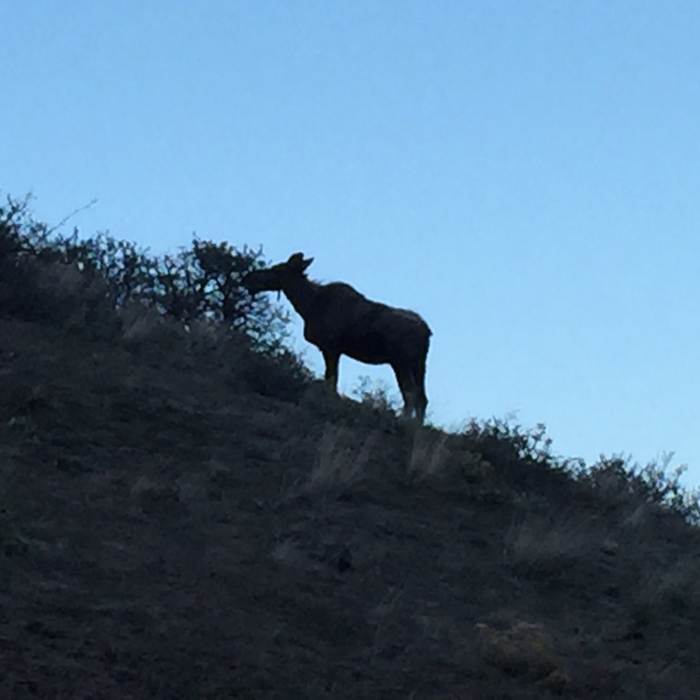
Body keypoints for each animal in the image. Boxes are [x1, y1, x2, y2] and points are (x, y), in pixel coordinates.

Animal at [242, 253, 431, 422]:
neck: (307, 305)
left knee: (411, 393)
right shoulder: (333, 349)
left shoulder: (330, 347)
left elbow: (331, 380)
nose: (248, 277)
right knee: (421, 397)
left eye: (277, 269)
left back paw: (405, 422)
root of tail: (427, 332)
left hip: (401, 361)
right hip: (417, 364)